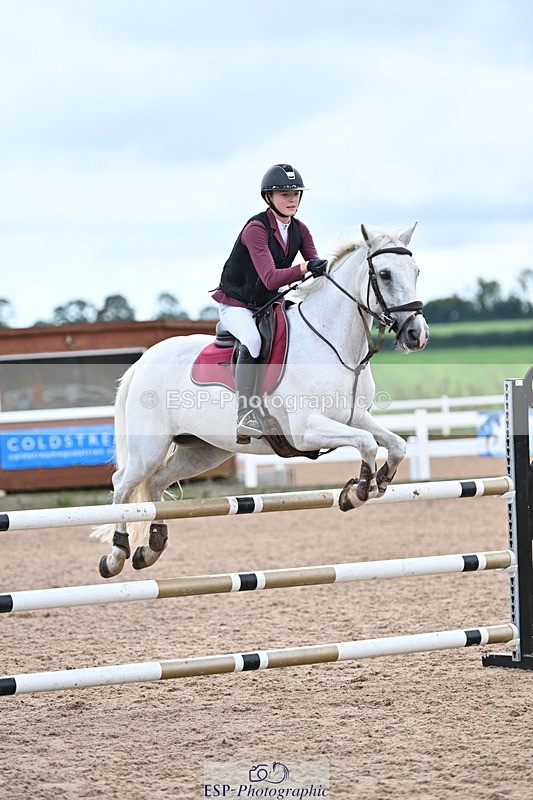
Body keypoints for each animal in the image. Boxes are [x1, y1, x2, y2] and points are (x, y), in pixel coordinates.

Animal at [93, 223, 429, 578]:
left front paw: (379, 482)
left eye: (416, 271)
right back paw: (116, 555)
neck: (334, 346)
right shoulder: (306, 430)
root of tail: (143, 362)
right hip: (150, 449)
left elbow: (396, 444)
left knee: (156, 483)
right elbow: (366, 443)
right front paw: (358, 491)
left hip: (202, 451)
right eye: (385, 274)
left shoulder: (353, 417)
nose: (417, 335)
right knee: (122, 485)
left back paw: (151, 548)